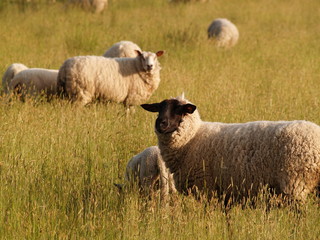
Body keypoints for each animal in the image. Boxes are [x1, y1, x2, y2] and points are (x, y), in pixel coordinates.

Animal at [141, 95, 320, 204]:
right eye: (158, 109)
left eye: (179, 110)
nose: (160, 123)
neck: (192, 138)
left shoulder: (206, 188)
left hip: (296, 183)